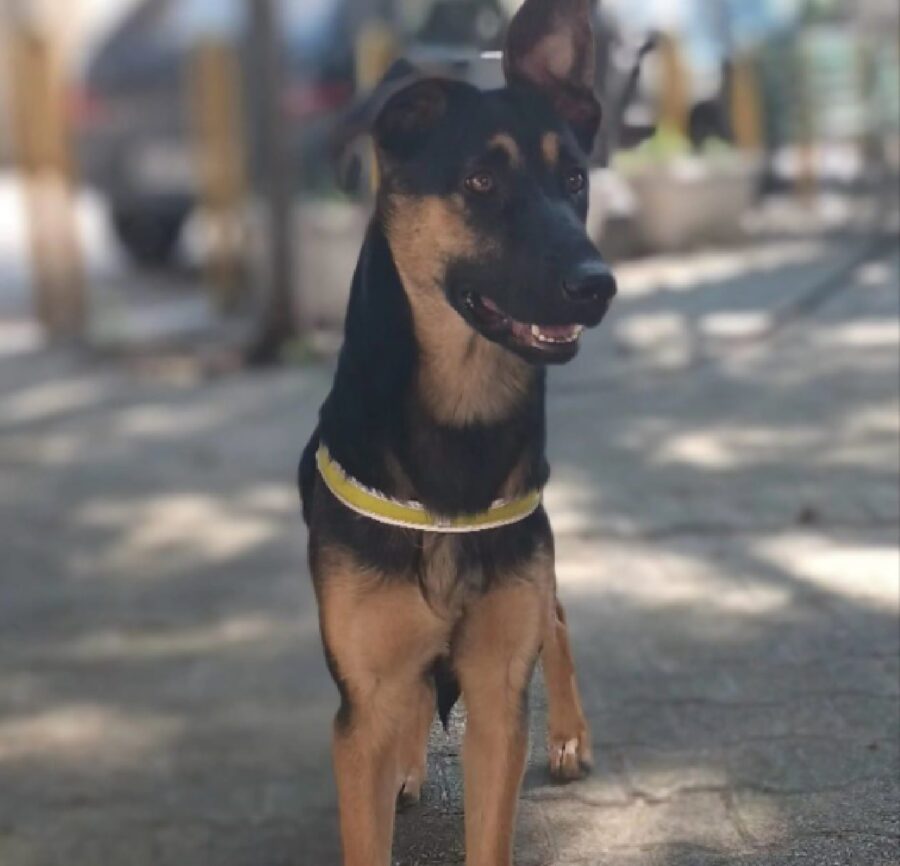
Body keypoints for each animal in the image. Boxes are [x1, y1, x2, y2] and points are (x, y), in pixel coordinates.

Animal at [298, 0, 616, 856]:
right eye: (481, 181)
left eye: (575, 180)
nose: (598, 285)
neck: (460, 420)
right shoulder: (363, 706)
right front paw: (404, 766)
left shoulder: (500, 692)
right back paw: (411, 763)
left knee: (559, 617)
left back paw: (570, 734)